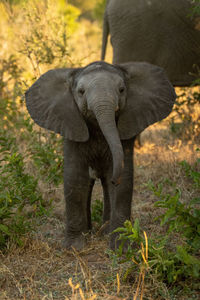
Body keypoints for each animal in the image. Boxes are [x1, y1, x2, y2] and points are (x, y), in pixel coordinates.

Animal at [24, 59, 175, 250]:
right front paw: (73, 248)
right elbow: (75, 178)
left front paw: (121, 248)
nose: (114, 179)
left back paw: (104, 232)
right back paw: (91, 232)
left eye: (122, 90)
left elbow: (125, 181)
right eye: (81, 92)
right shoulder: (72, 126)